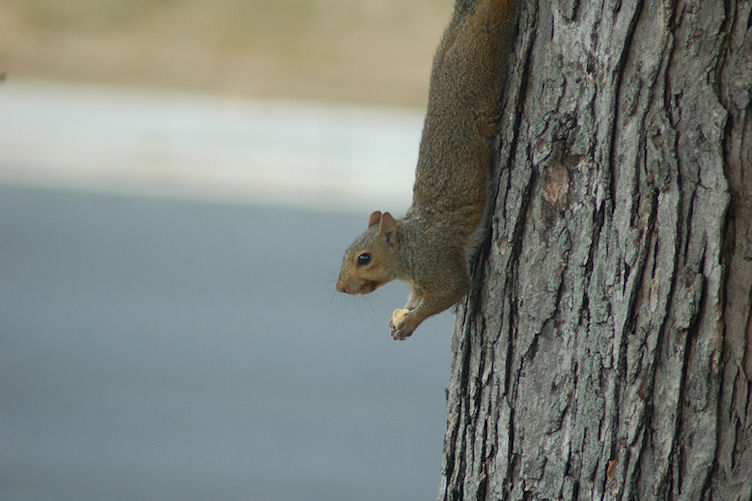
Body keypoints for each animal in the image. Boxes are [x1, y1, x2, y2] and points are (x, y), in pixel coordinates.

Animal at [336, 0, 519, 340]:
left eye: (364, 258)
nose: (341, 287)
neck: (410, 247)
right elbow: (417, 298)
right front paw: (401, 315)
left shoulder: (437, 262)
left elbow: (453, 290)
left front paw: (409, 323)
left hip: (478, 60)